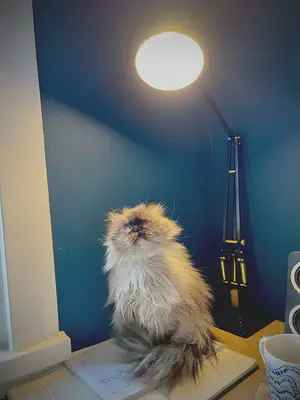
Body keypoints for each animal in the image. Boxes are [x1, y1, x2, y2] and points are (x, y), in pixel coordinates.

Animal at [103, 202, 216, 390]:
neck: (143, 271)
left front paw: (156, 353)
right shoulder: (136, 312)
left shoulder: (165, 314)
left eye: (143, 222)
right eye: (127, 227)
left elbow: (164, 340)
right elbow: (150, 339)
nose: (136, 228)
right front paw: (150, 351)